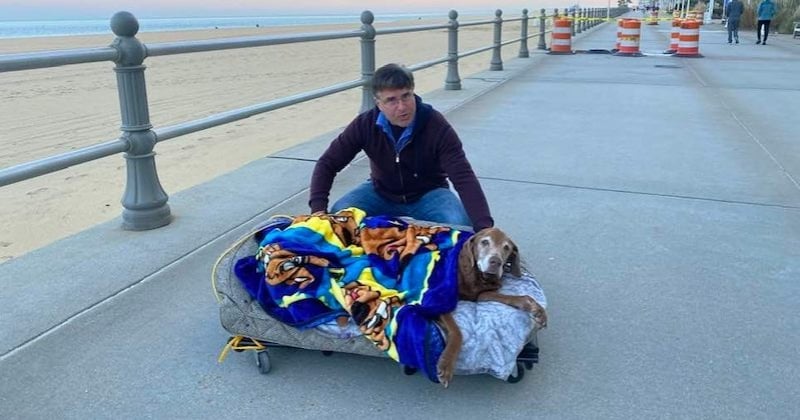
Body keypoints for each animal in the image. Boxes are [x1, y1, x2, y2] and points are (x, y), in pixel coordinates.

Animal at [434, 228, 548, 388]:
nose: (496, 262)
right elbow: (456, 331)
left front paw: (537, 310)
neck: (477, 277)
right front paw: (446, 365)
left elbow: (519, 297)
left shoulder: (482, 295)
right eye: (485, 242)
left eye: (506, 247)